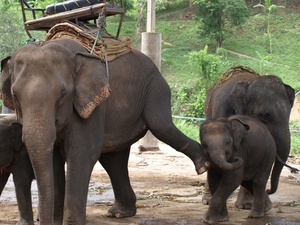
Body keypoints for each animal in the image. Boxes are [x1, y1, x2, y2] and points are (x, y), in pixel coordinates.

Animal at [0, 37, 209, 224]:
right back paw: (119, 213)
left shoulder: (94, 104)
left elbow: (82, 153)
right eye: (14, 95)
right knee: (113, 158)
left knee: (161, 125)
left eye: (62, 95)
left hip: (156, 86)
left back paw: (203, 165)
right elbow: (53, 158)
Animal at [203, 65, 294, 209]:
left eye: (289, 114)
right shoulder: (221, 109)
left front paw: (246, 205)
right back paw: (207, 200)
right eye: (265, 116)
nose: (268, 190)